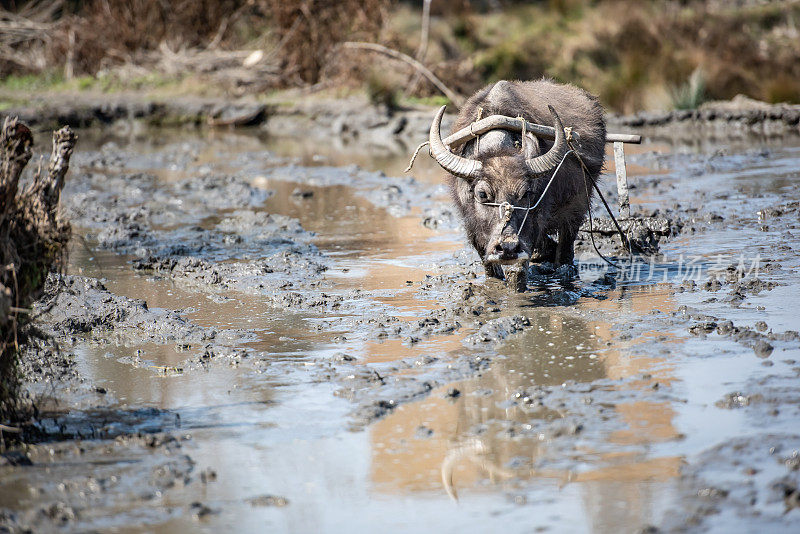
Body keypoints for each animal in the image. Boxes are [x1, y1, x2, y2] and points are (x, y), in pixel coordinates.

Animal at [428, 78, 604, 284]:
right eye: (482, 194)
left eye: (525, 193)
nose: (508, 247)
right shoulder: (473, 229)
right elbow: (490, 267)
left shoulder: (531, 230)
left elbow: (520, 267)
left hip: (578, 207)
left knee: (565, 248)